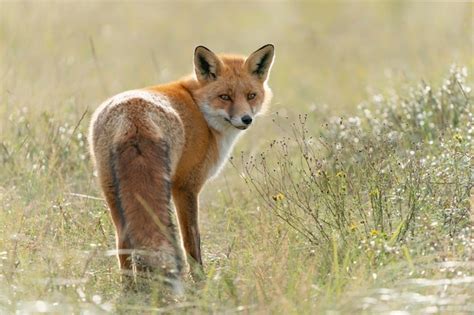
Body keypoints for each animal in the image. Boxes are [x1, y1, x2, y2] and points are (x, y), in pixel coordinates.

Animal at [87, 45, 276, 288]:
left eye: (251, 95)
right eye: (224, 97)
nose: (246, 119)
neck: (199, 108)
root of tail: (132, 118)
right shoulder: (186, 187)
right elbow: (192, 241)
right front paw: (200, 283)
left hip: (111, 191)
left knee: (123, 242)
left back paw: (130, 289)